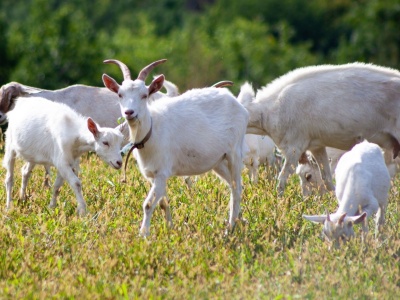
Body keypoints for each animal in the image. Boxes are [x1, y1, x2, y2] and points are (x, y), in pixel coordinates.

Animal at [101, 58, 248, 237]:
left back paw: (230, 229)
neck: (151, 132)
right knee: (233, 186)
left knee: (236, 188)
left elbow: (148, 204)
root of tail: (236, 103)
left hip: (234, 152)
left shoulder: (162, 172)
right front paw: (169, 229)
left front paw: (143, 235)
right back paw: (240, 220)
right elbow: (163, 203)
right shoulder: (153, 175)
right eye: (120, 94)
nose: (129, 112)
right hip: (218, 161)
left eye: (144, 95)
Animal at [238, 63, 400, 195]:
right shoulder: (317, 146)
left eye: (308, 177)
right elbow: (327, 180)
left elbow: (282, 178)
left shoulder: (294, 147)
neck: (269, 111)